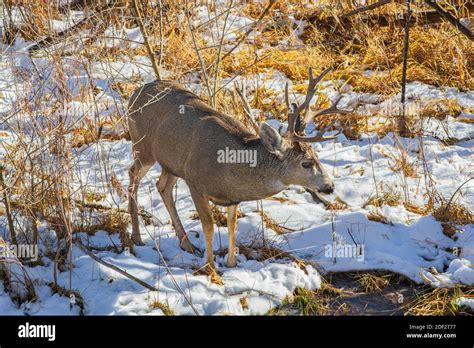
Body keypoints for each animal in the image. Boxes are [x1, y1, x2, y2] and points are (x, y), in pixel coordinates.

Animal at [128, 67, 350, 272]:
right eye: (306, 163)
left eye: (317, 157)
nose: (330, 186)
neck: (230, 166)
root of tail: (136, 91)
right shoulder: (195, 182)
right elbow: (209, 227)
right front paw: (210, 268)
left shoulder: (231, 198)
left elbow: (232, 227)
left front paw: (232, 264)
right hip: (143, 146)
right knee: (133, 175)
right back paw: (137, 238)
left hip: (172, 163)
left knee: (162, 186)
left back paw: (187, 244)